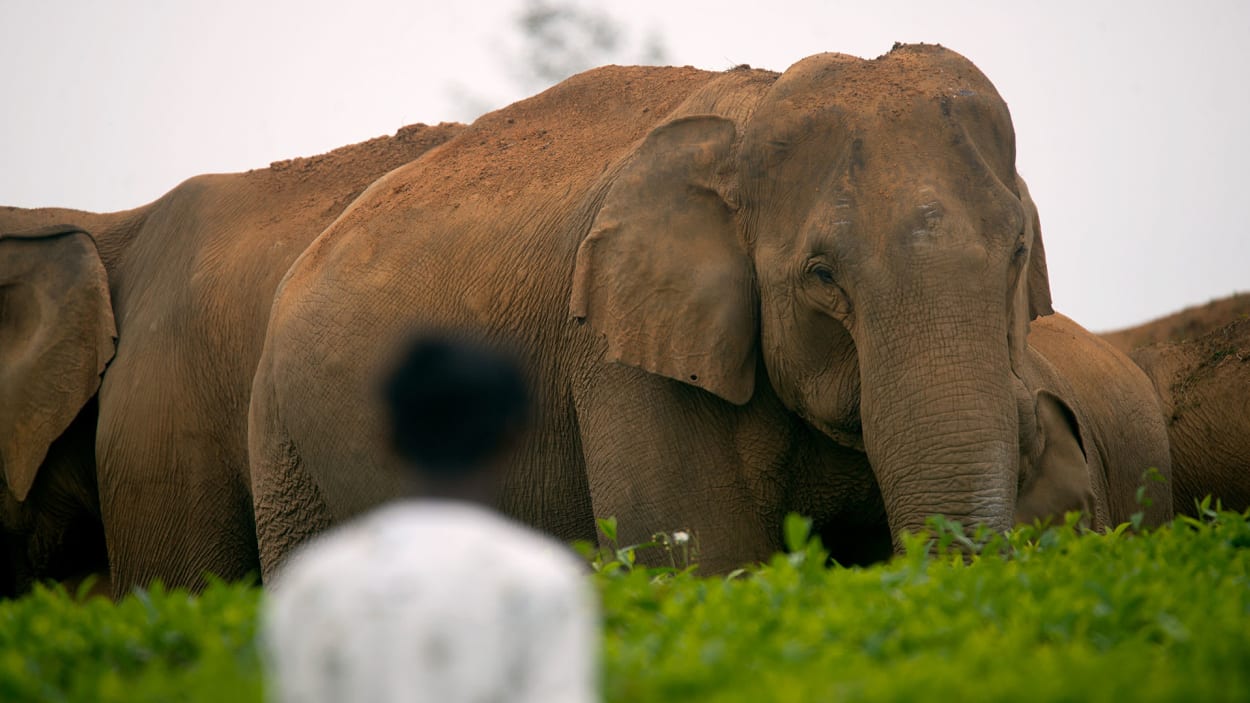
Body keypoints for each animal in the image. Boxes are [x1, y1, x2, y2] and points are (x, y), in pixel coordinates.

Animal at [246, 43, 1170, 575]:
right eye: (821, 276)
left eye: (1017, 252)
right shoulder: (619, 357)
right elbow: (706, 564)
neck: (749, 120)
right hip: (283, 446)